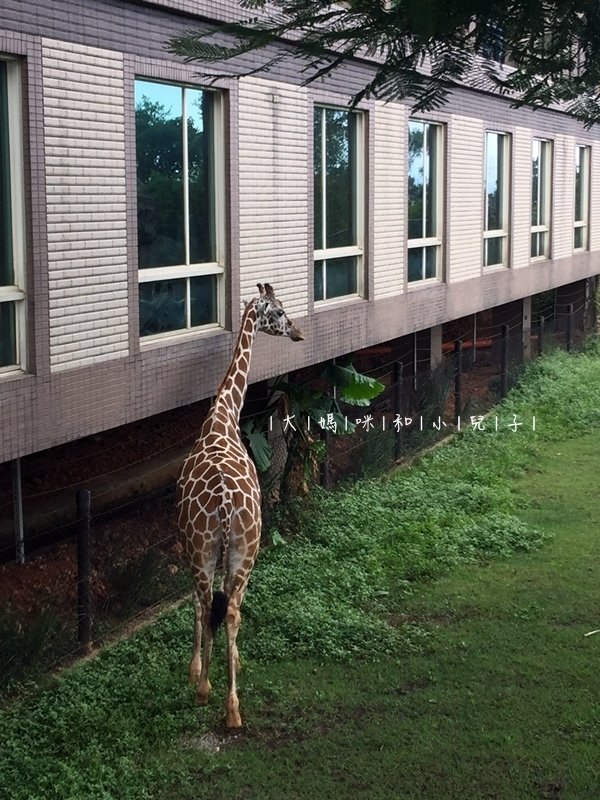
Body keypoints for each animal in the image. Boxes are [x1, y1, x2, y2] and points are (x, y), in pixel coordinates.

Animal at [176, 282, 302, 732]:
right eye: (278, 312)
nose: (298, 332)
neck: (223, 416)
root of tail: (228, 507)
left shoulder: (189, 548)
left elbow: (198, 607)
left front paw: (197, 669)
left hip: (210, 551)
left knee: (215, 607)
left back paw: (209, 693)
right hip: (245, 552)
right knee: (231, 611)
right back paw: (232, 707)